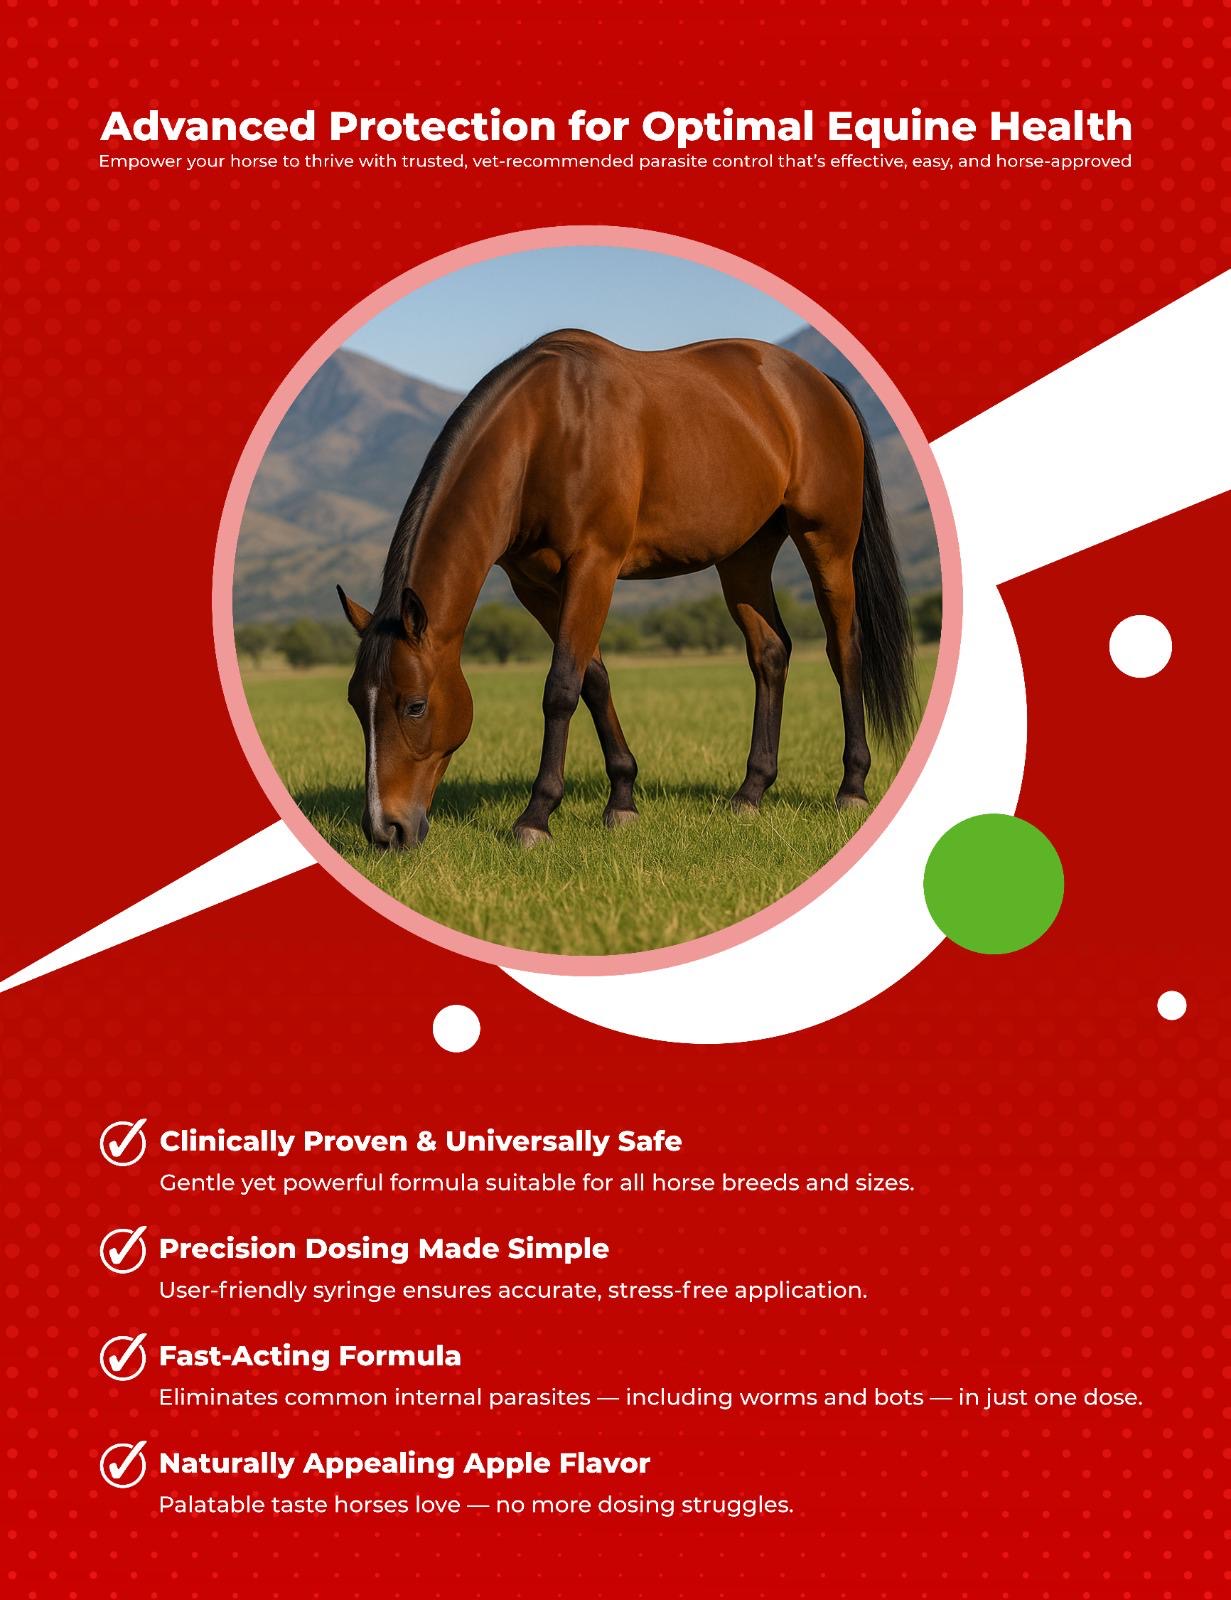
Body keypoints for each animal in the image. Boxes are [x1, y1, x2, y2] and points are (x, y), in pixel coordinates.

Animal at [337, 330, 915, 850]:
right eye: (356, 704)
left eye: (414, 706)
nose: (385, 831)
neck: (546, 431)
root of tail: (819, 383)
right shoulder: (535, 585)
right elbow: (593, 679)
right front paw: (622, 800)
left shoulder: (594, 566)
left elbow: (561, 688)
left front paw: (536, 816)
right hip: (744, 556)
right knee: (770, 653)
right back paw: (750, 792)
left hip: (827, 542)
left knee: (844, 650)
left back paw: (852, 787)